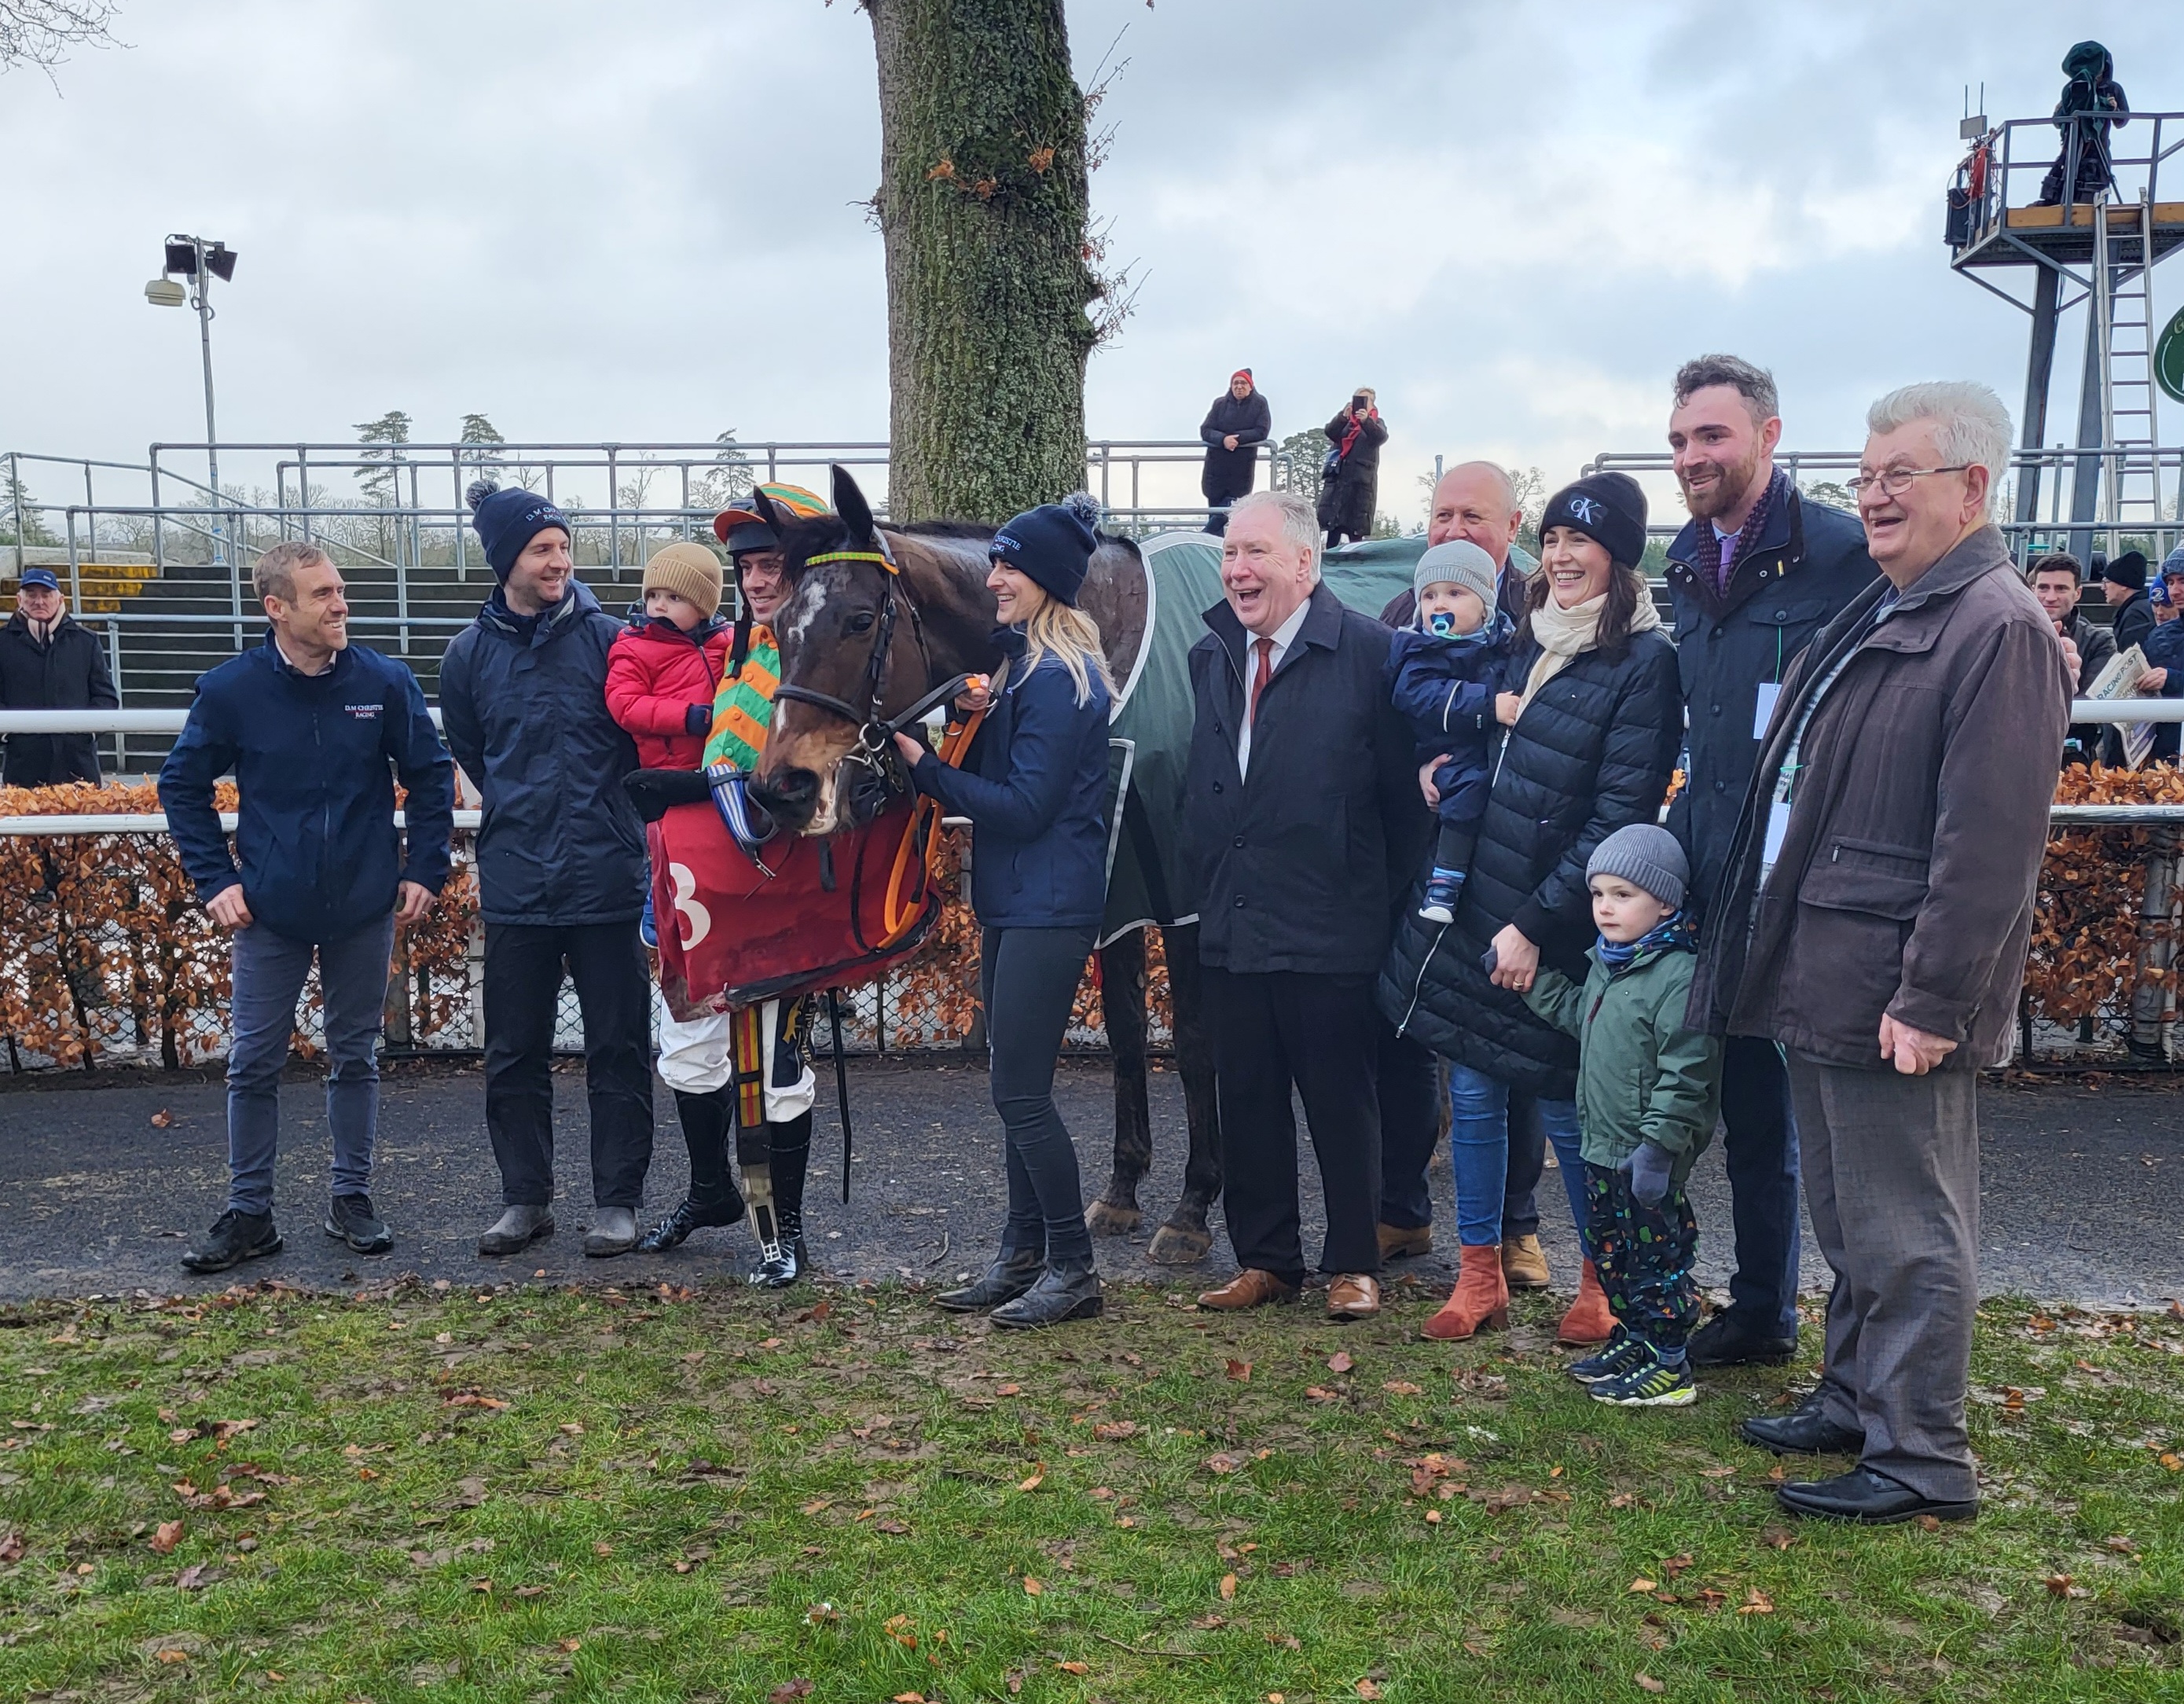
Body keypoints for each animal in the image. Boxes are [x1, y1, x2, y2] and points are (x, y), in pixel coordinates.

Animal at [747, 465, 1231, 1267]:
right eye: (780, 624)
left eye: (857, 619)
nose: (781, 788)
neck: (1111, 647)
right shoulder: (1115, 885)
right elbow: (1129, 1034)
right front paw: (1122, 1192)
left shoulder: (1184, 895)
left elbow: (1192, 1041)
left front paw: (1193, 1208)